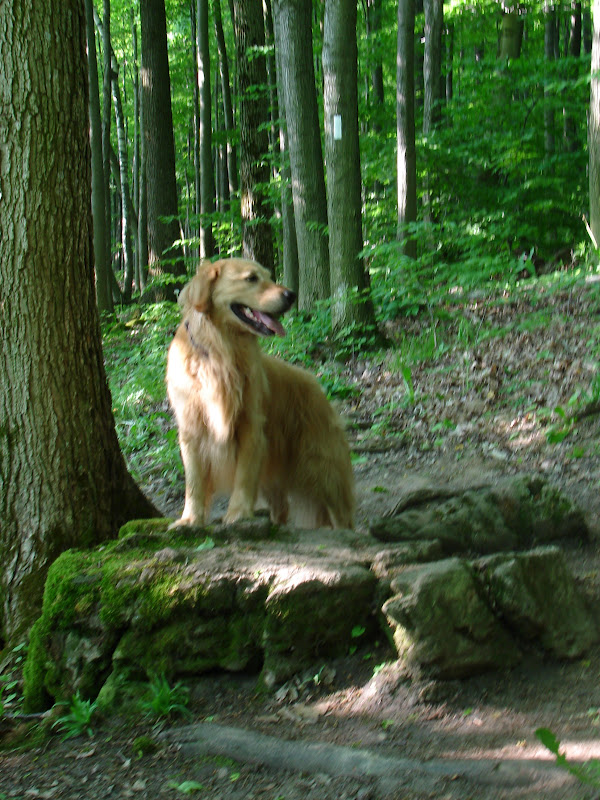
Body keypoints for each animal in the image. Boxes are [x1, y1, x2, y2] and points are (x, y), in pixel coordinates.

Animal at [166, 257, 355, 529]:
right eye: (251, 278)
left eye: (269, 276)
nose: (291, 295)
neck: (221, 351)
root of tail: (315, 384)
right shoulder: (191, 430)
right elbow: (194, 482)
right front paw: (190, 519)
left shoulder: (251, 427)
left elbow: (244, 477)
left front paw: (238, 513)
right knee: (282, 507)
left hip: (321, 466)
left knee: (340, 512)